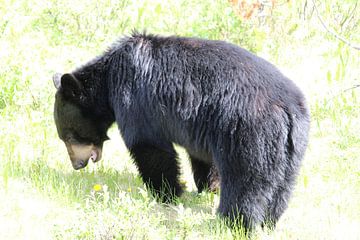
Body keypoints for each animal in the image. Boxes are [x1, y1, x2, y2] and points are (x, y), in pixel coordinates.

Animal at [52, 32, 310, 231]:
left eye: (69, 136)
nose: (77, 165)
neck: (108, 78)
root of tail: (287, 109)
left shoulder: (134, 95)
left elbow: (149, 145)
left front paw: (167, 193)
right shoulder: (207, 126)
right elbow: (203, 157)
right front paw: (207, 187)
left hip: (249, 133)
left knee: (246, 180)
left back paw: (234, 222)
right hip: (291, 147)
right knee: (282, 186)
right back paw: (269, 221)